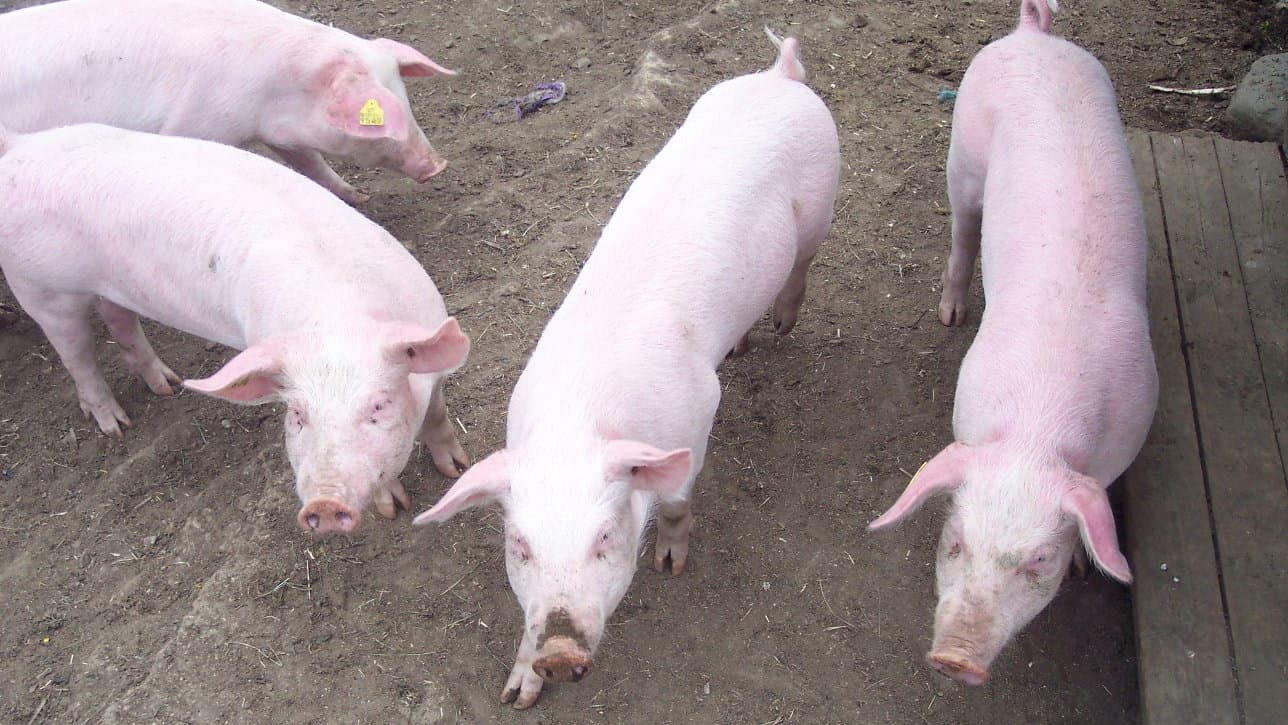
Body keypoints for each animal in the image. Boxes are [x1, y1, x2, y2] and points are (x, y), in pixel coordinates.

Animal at [0, 0, 456, 205]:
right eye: (379, 121)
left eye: (407, 103)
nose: (438, 164)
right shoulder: (196, 121)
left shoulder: (280, 133)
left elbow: (310, 162)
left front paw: (357, 198)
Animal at [0, 121, 471, 533]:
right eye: (296, 415)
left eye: (378, 406)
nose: (323, 503)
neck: (340, 318)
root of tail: (19, 146)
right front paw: (392, 507)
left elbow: (437, 415)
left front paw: (457, 467)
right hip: (42, 292)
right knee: (77, 357)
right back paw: (117, 426)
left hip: (111, 288)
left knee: (120, 321)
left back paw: (168, 385)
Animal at [412, 30, 839, 709]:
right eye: (520, 546)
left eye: (605, 538)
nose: (560, 652)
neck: (578, 419)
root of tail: (782, 76)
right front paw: (517, 695)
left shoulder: (697, 412)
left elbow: (677, 503)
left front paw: (670, 566)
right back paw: (744, 344)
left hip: (822, 202)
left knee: (802, 267)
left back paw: (782, 326)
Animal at [868, 0, 1158, 686]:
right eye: (952, 543)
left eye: (1039, 564)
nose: (954, 659)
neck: (1037, 430)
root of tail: (1031, 34)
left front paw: (1084, 563)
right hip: (964, 154)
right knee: (962, 231)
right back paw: (950, 314)